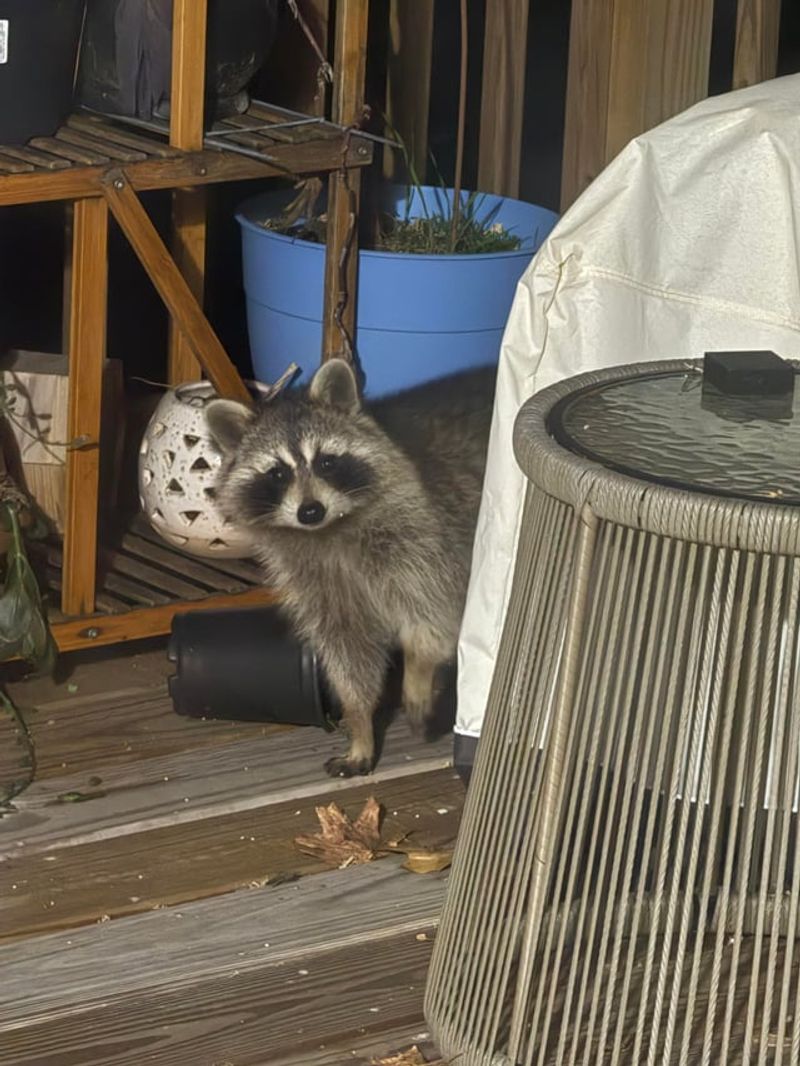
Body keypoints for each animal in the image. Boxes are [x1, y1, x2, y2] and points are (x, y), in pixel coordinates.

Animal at [205, 359, 494, 777]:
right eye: (277, 473)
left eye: (326, 461)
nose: (310, 511)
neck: (329, 532)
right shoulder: (316, 584)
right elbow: (348, 653)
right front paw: (360, 725)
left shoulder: (425, 538)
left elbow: (433, 622)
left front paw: (417, 672)